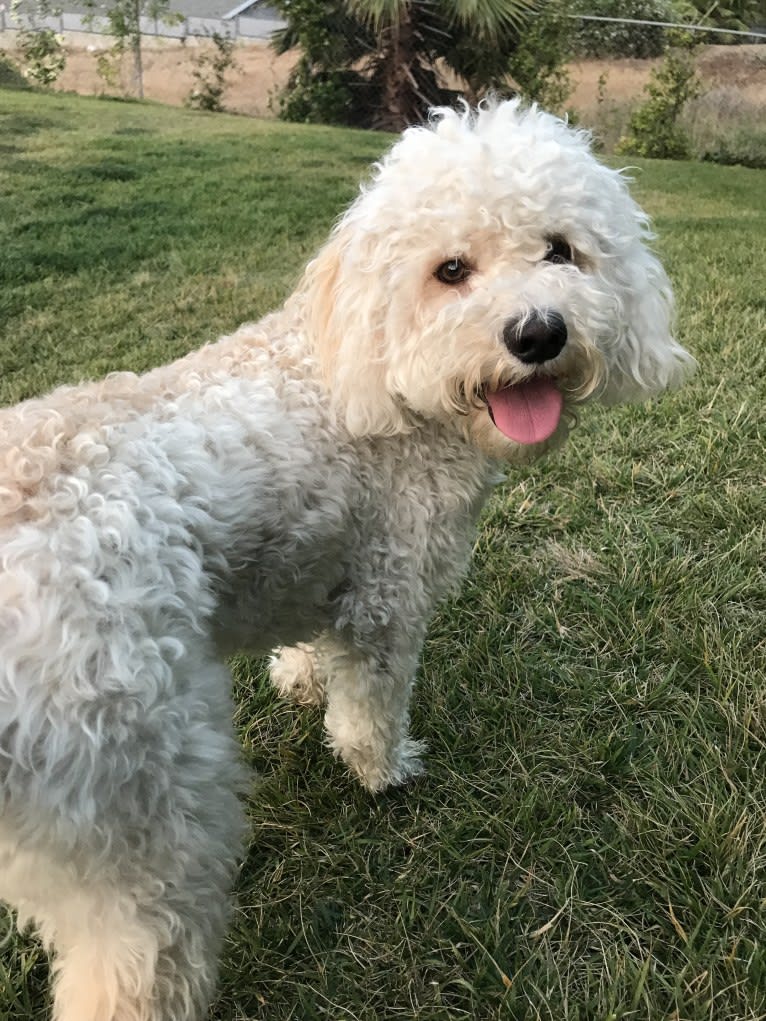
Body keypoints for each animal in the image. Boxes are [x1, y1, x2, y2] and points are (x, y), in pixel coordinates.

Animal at [1, 97, 694, 1021]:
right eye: (450, 270)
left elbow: (306, 641)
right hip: (147, 804)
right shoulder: (390, 595)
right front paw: (383, 771)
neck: (368, 374)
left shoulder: (317, 558)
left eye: (561, 249)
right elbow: (369, 704)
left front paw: (297, 678)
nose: (538, 332)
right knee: (135, 957)